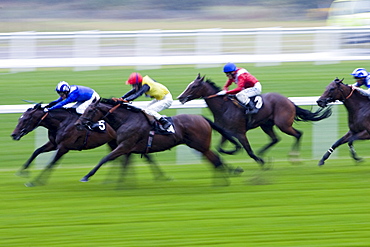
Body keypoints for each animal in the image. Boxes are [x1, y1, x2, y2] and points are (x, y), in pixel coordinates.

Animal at [75, 98, 243, 185]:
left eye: (90, 110)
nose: (78, 123)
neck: (126, 119)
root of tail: (202, 118)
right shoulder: (127, 148)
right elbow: (124, 164)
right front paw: (120, 183)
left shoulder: (124, 146)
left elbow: (105, 159)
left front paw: (86, 176)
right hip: (200, 146)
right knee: (216, 160)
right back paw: (224, 179)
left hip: (201, 146)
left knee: (216, 160)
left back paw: (222, 182)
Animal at [177, 74, 332, 166]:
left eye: (194, 86)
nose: (180, 97)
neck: (224, 107)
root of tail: (289, 101)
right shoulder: (225, 132)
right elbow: (220, 148)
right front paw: (233, 150)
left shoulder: (240, 133)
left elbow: (249, 151)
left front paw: (260, 161)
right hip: (266, 125)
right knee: (275, 139)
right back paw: (263, 152)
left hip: (283, 124)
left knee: (298, 134)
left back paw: (294, 158)